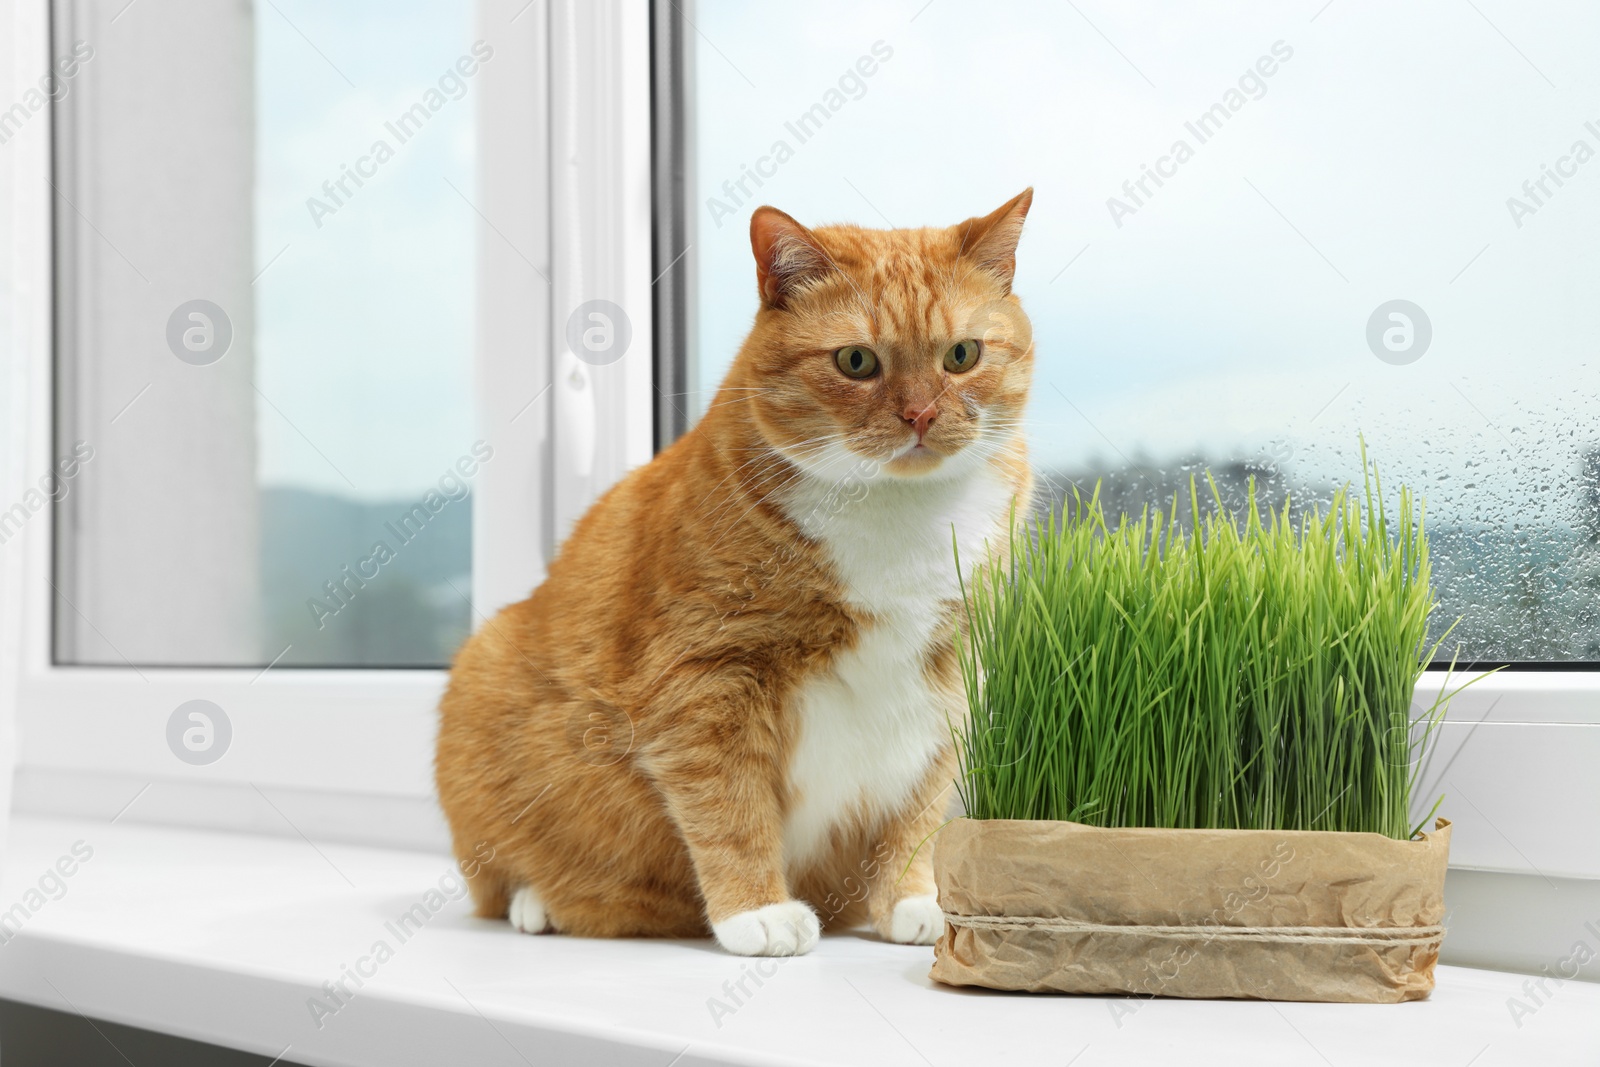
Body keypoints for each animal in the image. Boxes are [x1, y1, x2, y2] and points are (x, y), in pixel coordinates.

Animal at [438, 187, 1036, 953]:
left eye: (962, 354)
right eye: (856, 361)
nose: (921, 415)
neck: (897, 514)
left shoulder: (952, 674)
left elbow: (921, 808)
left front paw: (910, 897)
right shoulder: (705, 678)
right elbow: (730, 806)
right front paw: (757, 910)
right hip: (480, 671)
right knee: (503, 880)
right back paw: (539, 904)